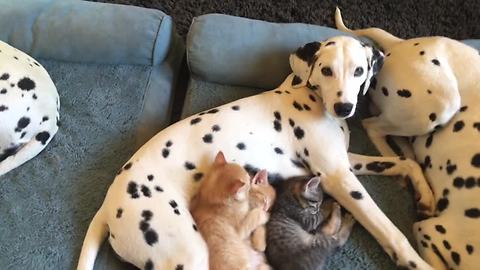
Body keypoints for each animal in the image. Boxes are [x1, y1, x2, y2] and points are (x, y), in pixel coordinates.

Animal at [78, 35, 436, 270]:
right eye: (326, 70)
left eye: (359, 70)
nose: (344, 107)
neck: (304, 95)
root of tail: (108, 205)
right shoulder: (339, 178)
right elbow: (390, 231)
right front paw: (417, 261)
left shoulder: (344, 164)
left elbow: (403, 161)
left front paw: (425, 194)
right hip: (189, 252)